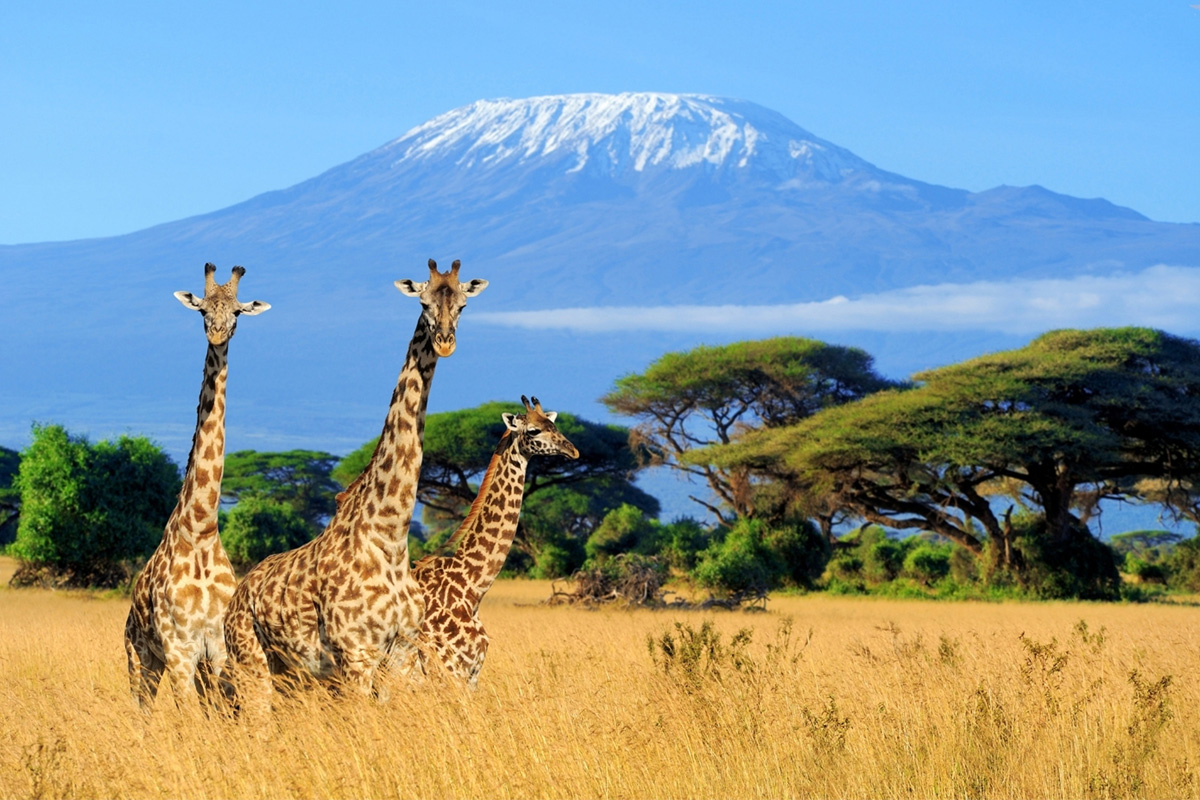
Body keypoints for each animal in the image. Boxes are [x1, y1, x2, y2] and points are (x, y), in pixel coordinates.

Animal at [124, 263, 270, 709]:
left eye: (237, 311)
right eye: (203, 309)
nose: (218, 334)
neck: (202, 528)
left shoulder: (217, 649)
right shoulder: (179, 649)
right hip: (140, 658)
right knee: (141, 709)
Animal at [223, 259, 487, 707]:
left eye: (463, 305)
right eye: (423, 302)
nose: (445, 342)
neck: (390, 536)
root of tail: (236, 597)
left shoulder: (401, 654)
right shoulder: (357, 655)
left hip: (291, 674)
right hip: (251, 663)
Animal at [404, 396, 578, 687]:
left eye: (553, 424)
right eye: (534, 431)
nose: (573, 451)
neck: (472, 587)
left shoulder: (471, 675)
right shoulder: (450, 672)